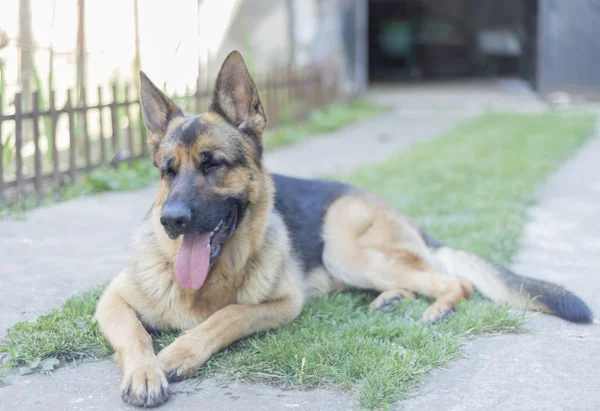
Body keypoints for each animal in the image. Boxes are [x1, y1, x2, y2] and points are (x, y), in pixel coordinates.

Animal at [96, 50, 592, 408]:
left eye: (212, 164)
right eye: (167, 171)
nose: (171, 220)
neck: (207, 282)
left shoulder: (283, 304)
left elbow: (226, 316)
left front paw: (178, 352)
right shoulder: (111, 300)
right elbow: (136, 334)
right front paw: (144, 371)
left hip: (345, 250)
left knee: (458, 282)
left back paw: (437, 308)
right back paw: (393, 299)